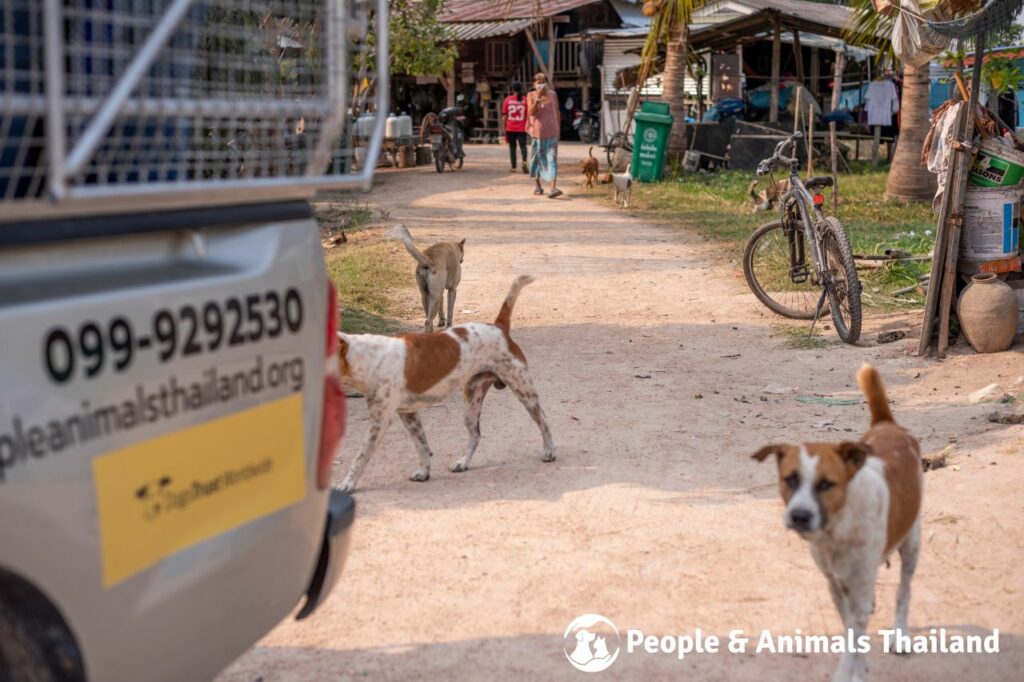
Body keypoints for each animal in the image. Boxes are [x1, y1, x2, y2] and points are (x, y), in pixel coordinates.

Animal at [335, 274, 557, 491]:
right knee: (475, 435)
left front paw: (347, 484)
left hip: (523, 390)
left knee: (543, 419)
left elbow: (360, 457)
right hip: (471, 404)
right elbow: (423, 447)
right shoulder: (408, 414)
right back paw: (462, 463)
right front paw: (424, 472)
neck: (366, 357)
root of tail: (499, 326)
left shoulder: (380, 420)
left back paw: (549, 451)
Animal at [753, 366, 921, 679]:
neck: (837, 528)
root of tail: (887, 425)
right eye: (790, 480)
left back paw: (900, 635)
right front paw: (860, 666)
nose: (800, 516)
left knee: (904, 589)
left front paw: (851, 672)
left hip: (912, 542)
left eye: (826, 484)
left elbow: (854, 638)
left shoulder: (858, 588)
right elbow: (851, 633)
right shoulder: (835, 584)